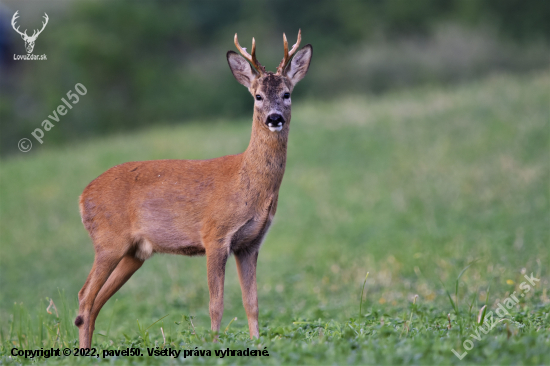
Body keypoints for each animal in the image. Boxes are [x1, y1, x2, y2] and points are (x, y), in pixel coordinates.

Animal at [75, 30, 312, 348]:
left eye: (287, 94)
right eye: (258, 96)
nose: (274, 118)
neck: (247, 184)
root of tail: (82, 196)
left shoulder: (250, 244)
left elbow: (252, 302)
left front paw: (256, 342)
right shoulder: (215, 235)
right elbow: (216, 303)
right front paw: (213, 343)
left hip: (134, 253)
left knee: (96, 301)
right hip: (108, 240)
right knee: (85, 297)